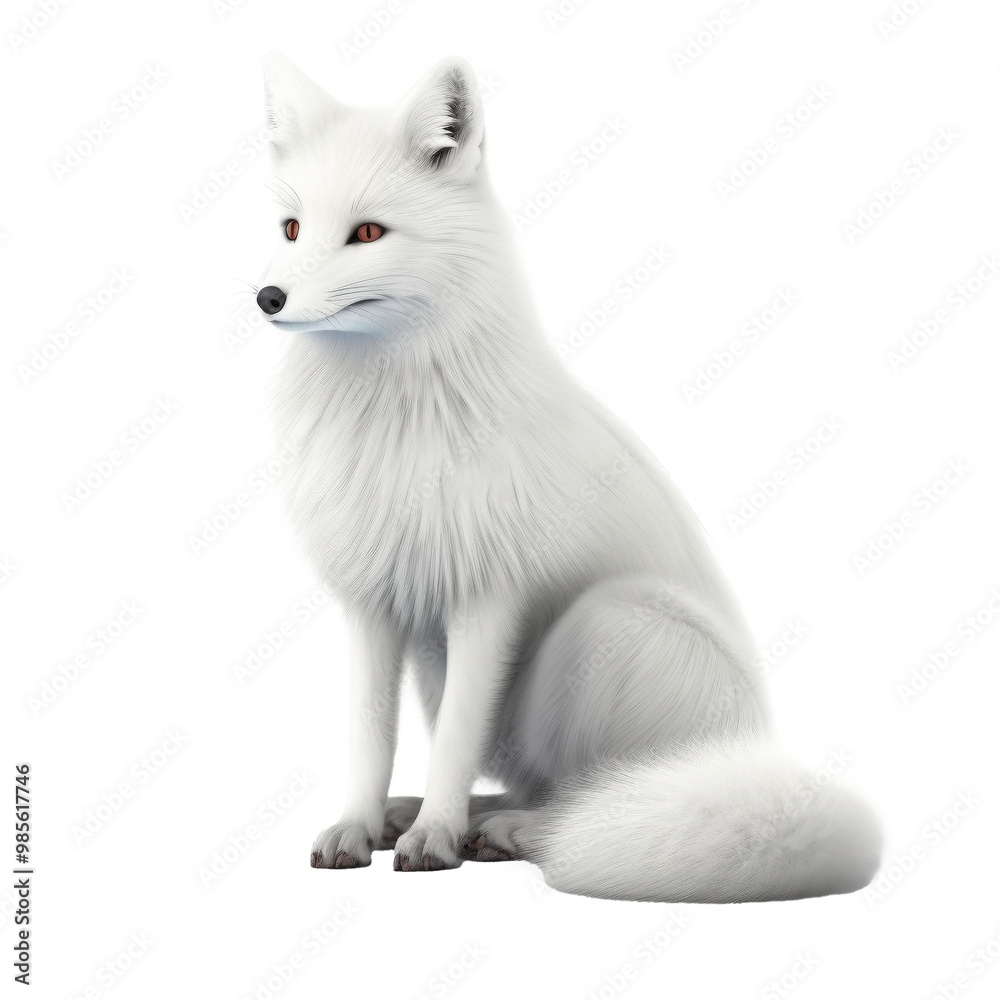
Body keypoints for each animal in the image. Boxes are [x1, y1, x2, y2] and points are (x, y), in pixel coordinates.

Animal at [253, 51, 881, 902]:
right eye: (291, 227)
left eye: (368, 233)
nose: (268, 297)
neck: (396, 421)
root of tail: (762, 752)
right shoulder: (371, 598)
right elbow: (367, 734)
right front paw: (359, 823)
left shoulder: (487, 596)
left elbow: (454, 739)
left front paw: (434, 839)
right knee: (534, 782)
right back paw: (437, 812)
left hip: (607, 625)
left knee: (586, 800)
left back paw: (506, 830)